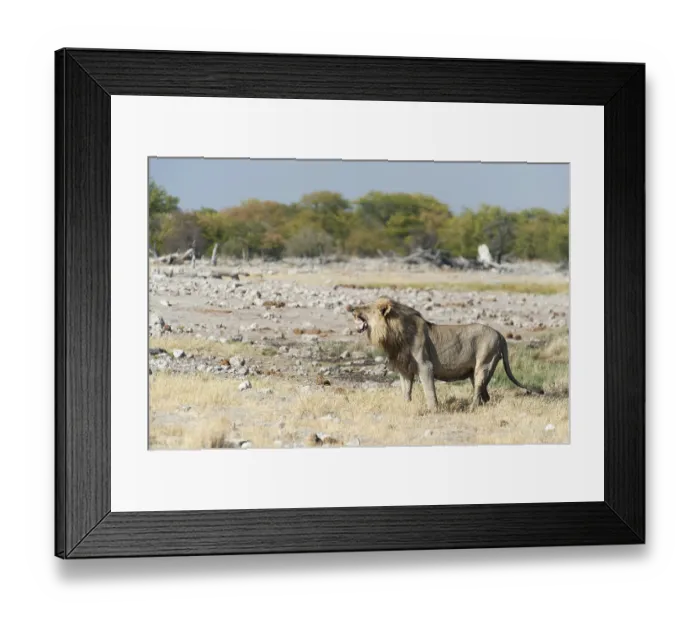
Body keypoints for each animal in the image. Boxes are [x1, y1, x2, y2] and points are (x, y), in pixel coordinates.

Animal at [347, 297, 544, 411]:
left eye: (365, 308)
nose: (351, 309)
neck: (393, 335)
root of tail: (500, 334)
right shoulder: (404, 369)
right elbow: (406, 391)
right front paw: (405, 406)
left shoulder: (425, 366)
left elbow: (429, 390)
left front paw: (433, 410)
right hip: (475, 372)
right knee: (484, 394)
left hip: (484, 365)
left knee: (478, 391)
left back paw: (471, 409)